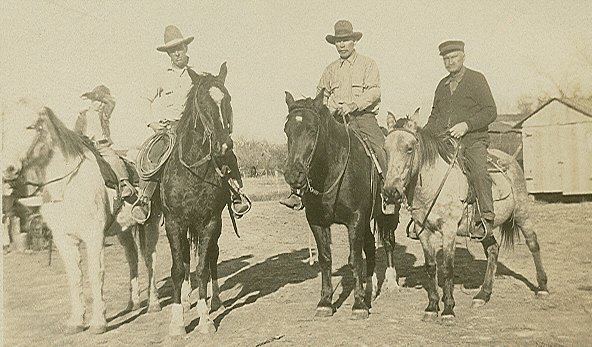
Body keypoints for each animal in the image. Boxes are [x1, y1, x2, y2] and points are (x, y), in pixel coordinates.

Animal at [1, 99, 162, 336]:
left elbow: (96, 274)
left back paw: (154, 303)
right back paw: (132, 303)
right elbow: (74, 277)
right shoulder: (63, 240)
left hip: (151, 224)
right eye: (4, 129)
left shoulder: (94, 236)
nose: (8, 169)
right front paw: (76, 321)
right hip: (123, 230)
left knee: (150, 258)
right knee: (132, 257)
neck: (67, 185)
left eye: (31, 127)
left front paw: (98, 322)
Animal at [161, 63, 237, 338]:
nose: (224, 146)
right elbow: (177, 269)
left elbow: (203, 268)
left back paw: (216, 300)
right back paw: (185, 299)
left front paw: (205, 320)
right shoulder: (174, 223)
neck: (192, 172)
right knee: (183, 258)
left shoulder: (210, 222)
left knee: (212, 256)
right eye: (203, 104)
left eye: (227, 100)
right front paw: (176, 323)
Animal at [284, 90, 402, 320]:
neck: (333, 171)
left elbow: (354, 259)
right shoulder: (317, 222)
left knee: (388, 243)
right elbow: (325, 259)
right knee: (370, 247)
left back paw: (391, 283)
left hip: (388, 215)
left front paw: (359, 305)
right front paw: (325, 302)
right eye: (287, 131)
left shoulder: (355, 219)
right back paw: (369, 285)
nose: (293, 175)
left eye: (312, 130)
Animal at [382, 112, 548, 326]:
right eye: (386, 149)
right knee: (493, 250)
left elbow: (447, 268)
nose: (390, 192)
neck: (433, 182)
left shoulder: (449, 229)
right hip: (483, 228)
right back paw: (483, 295)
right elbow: (431, 267)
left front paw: (448, 309)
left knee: (533, 243)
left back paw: (542, 287)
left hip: (521, 213)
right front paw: (432, 307)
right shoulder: (423, 230)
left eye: (409, 148)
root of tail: (511, 159)